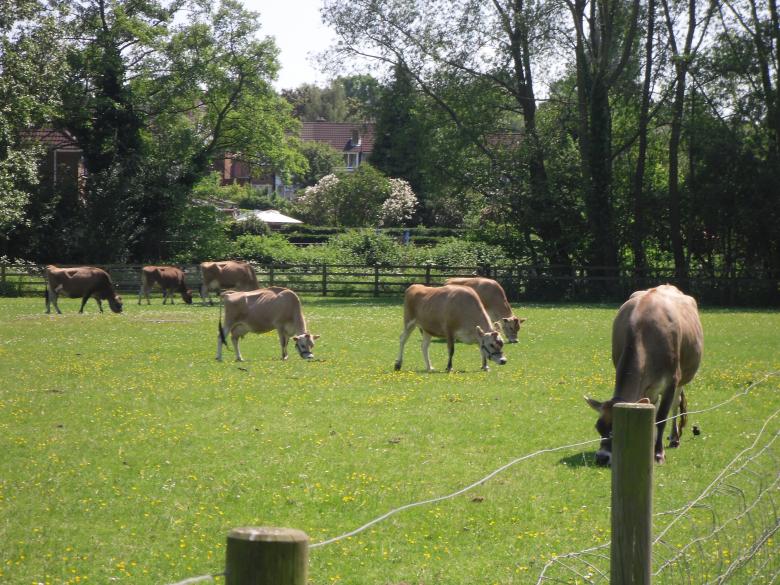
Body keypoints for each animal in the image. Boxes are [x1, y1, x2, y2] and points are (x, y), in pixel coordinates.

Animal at [585, 285, 703, 465]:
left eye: (618, 430)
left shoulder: (671, 382)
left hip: (681, 379)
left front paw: (658, 454)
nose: (601, 458)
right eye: (598, 427)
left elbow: (661, 419)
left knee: (675, 405)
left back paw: (674, 439)